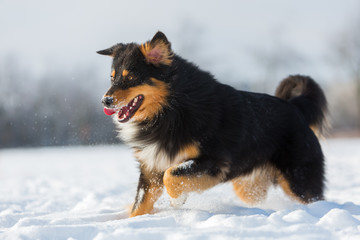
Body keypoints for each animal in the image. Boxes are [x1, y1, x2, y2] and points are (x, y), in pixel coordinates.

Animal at [97, 31, 328, 218]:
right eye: (112, 78)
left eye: (131, 77)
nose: (105, 101)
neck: (171, 109)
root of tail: (296, 107)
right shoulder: (151, 167)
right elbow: (141, 203)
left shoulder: (214, 161)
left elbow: (171, 175)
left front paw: (178, 200)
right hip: (247, 186)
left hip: (298, 179)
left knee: (313, 198)